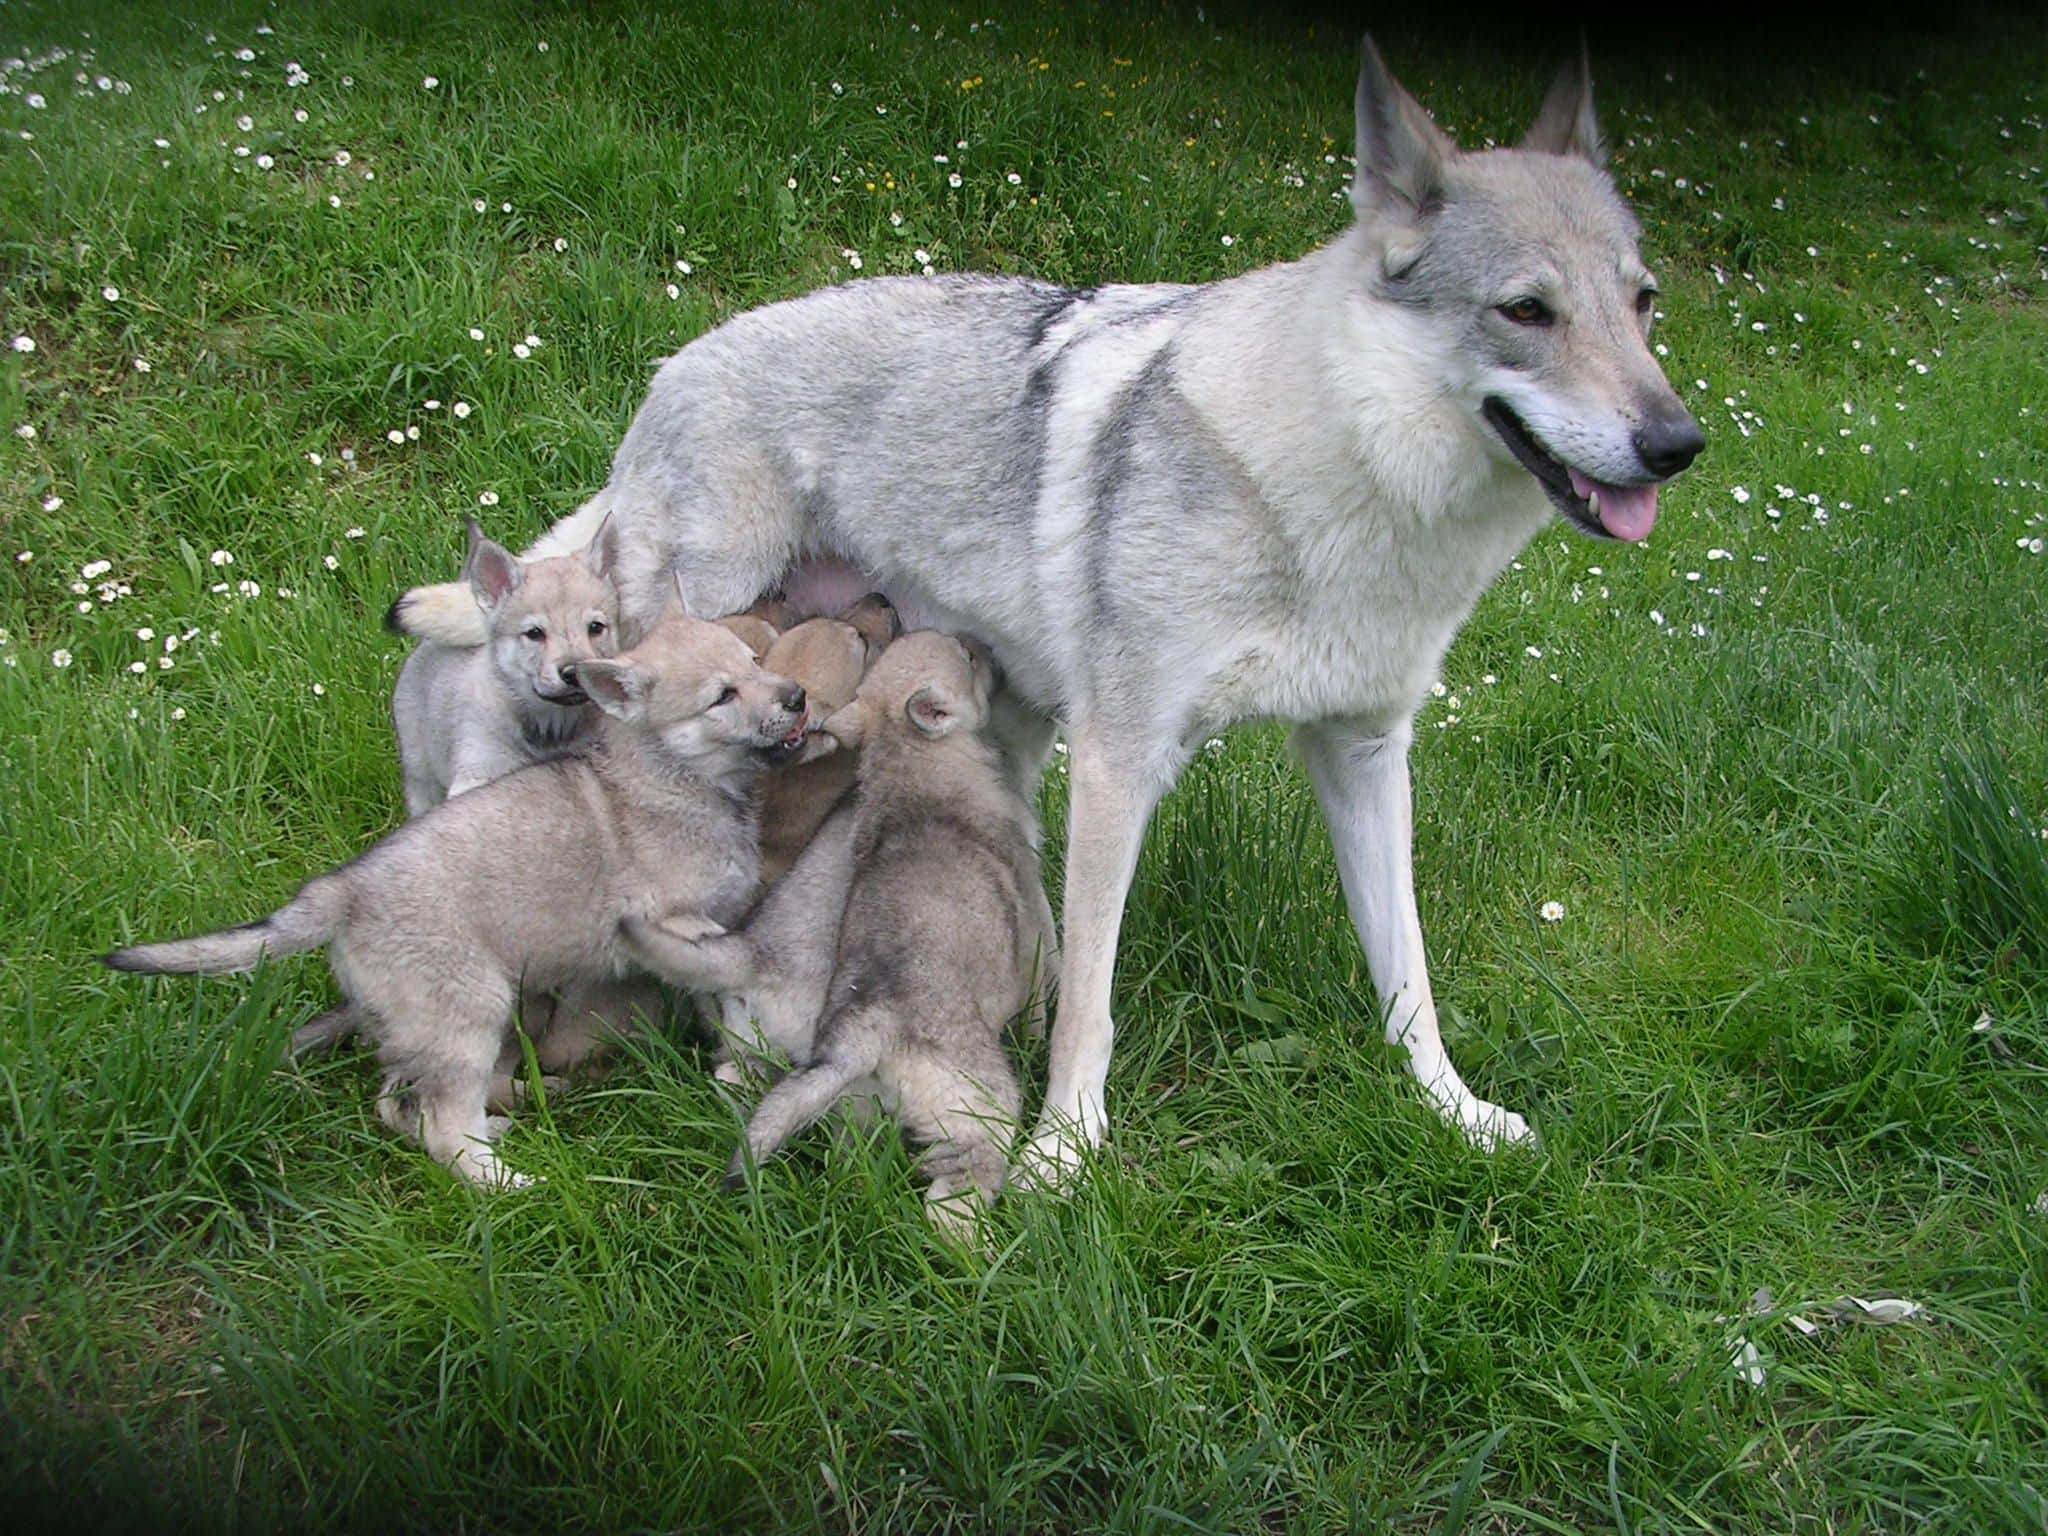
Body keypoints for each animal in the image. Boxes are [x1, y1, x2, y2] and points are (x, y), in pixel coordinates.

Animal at [101, 606, 806, 1187]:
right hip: (468, 1014)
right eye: (722, 696)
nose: (798, 696)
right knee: (440, 1128)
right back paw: (511, 1183)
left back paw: (513, 1111)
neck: (676, 776)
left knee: (401, 1105)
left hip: (433, 1028)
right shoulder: (684, 928)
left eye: (755, 663)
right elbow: (728, 994)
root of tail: (342, 892)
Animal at [630, 630, 1056, 1236]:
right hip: (983, 1105)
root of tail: (866, 1030)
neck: (906, 760)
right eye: (969, 658)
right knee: (956, 1192)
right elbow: (1045, 989)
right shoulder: (1032, 914)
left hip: (843, 1101)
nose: (983, 642)